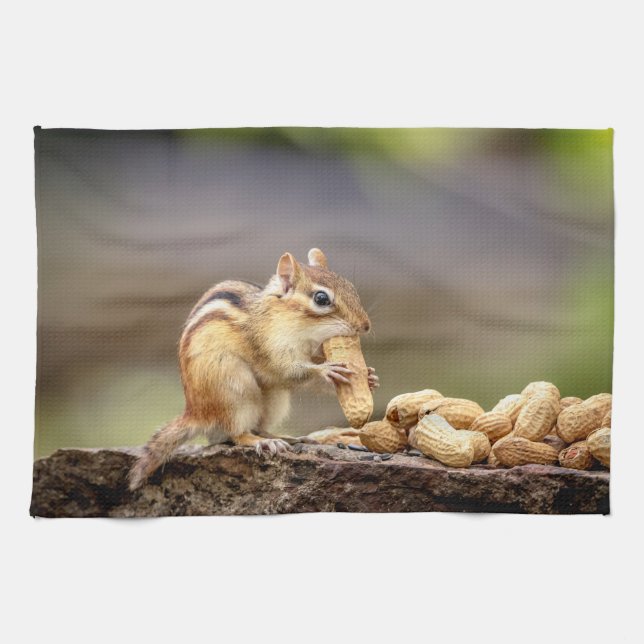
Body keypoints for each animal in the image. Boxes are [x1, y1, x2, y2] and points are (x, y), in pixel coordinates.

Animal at [128, 248, 378, 490]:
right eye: (321, 298)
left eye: (351, 288)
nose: (365, 326)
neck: (292, 323)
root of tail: (196, 413)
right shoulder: (268, 347)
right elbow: (288, 371)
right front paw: (326, 370)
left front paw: (370, 377)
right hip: (235, 389)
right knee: (238, 434)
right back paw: (263, 442)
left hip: (274, 398)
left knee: (260, 426)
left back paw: (287, 438)